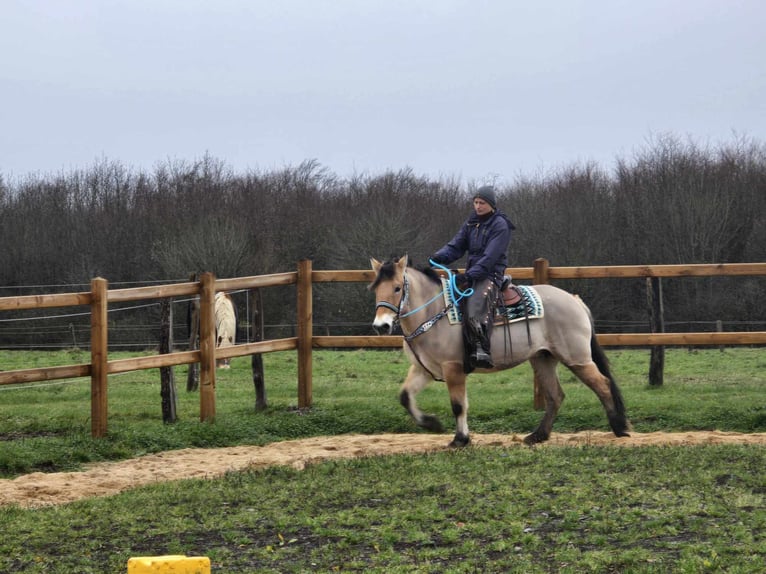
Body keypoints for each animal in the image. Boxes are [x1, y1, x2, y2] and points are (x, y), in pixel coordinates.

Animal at [370, 256, 632, 450]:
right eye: (375, 289)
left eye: (397, 288)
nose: (381, 326)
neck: (434, 312)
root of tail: (574, 300)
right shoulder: (423, 369)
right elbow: (405, 396)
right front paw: (432, 424)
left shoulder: (453, 368)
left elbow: (458, 405)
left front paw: (460, 439)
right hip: (542, 359)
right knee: (555, 396)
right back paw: (537, 436)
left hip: (577, 359)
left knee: (603, 384)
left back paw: (620, 427)